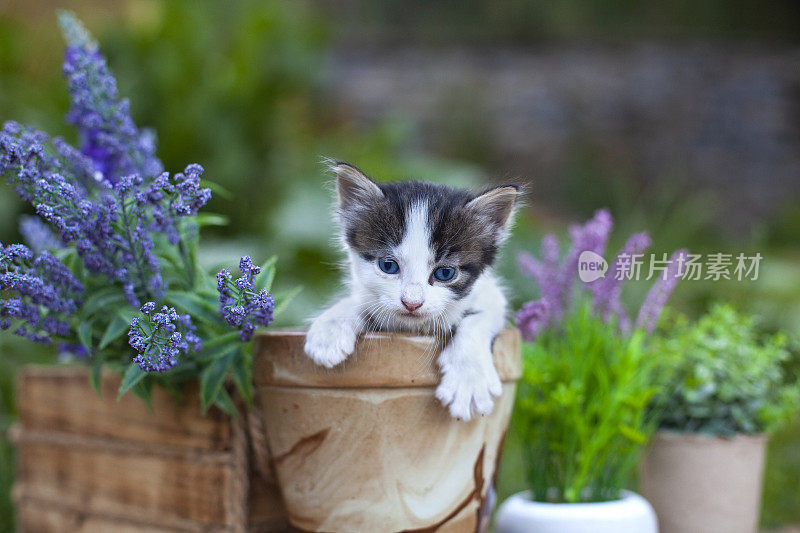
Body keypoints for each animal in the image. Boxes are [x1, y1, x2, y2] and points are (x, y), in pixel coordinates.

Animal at [302, 162, 520, 420]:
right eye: (388, 266)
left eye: (445, 273)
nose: (412, 303)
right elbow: (361, 302)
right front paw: (330, 329)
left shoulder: (491, 294)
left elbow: (479, 318)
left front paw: (469, 377)